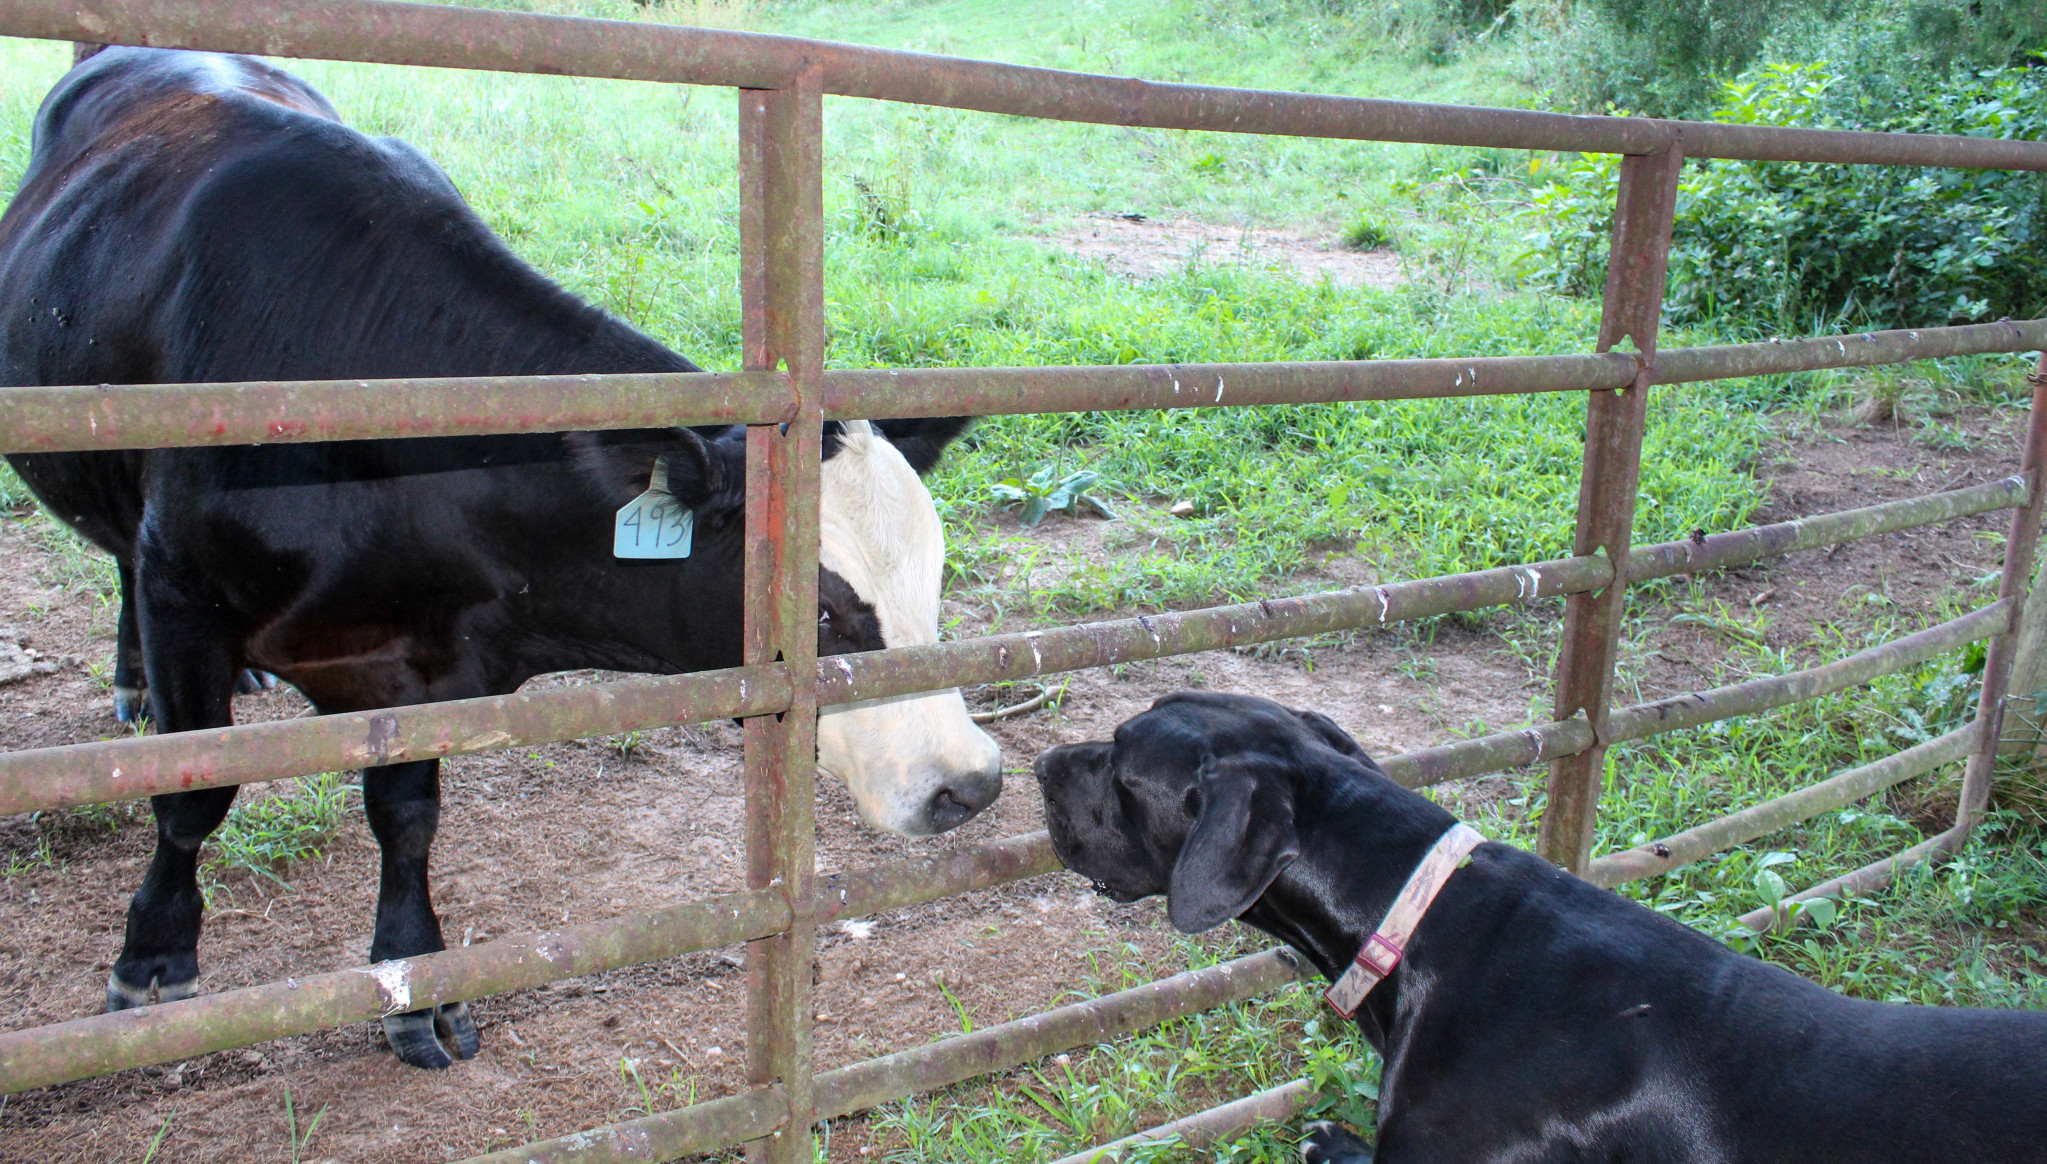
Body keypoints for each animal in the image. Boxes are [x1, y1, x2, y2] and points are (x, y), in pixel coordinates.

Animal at [0, 45, 998, 1063]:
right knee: (122, 568)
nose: (970, 782)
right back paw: (132, 682)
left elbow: (407, 816)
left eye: (933, 579)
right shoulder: (183, 594)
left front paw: (417, 981)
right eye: (825, 609)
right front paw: (154, 960)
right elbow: (193, 795)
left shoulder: (416, 666)